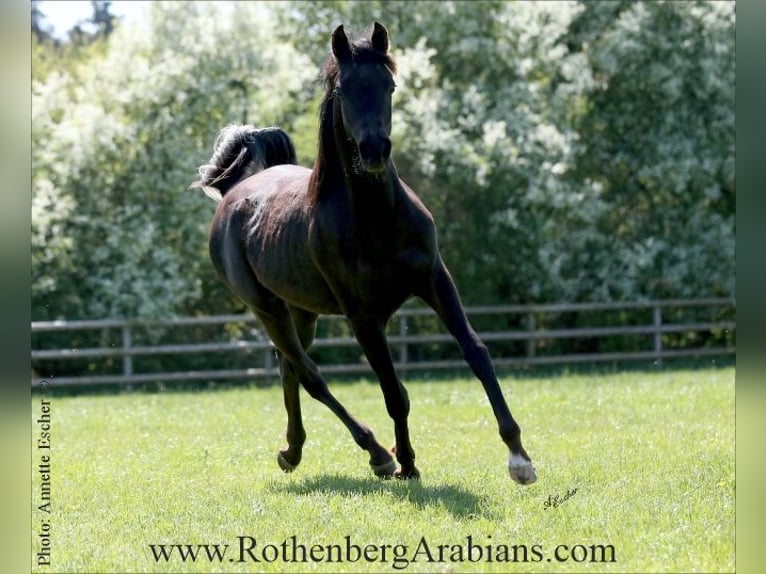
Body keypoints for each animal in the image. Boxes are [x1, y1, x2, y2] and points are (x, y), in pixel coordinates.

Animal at [194, 22, 536, 484]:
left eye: (389, 85)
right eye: (343, 91)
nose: (375, 150)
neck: (377, 219)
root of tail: (233, 192)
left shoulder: (435, 280)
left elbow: (476, 352)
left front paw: (518, 455)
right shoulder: (363, 318)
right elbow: (394, 392)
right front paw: (405, 462)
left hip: (302, 312)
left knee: (290, 370)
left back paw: (293, 451)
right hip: (267, 310)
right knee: (310, 375)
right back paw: (373, 453)